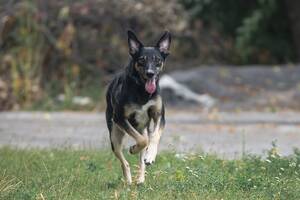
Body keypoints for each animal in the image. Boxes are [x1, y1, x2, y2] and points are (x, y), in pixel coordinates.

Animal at [105, 30, 171, 184]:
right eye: (141, 60)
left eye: (157, 60)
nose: (150, 73)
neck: (142, 90)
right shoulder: (120, 118)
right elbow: (142, 141)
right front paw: (133, 149)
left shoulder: (159, 116)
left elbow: (154, 137)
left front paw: (150, 156)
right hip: (114, 136)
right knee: (124, 161)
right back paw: (129, 179)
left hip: (142, 129)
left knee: (142, 157)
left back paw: (141, 178)